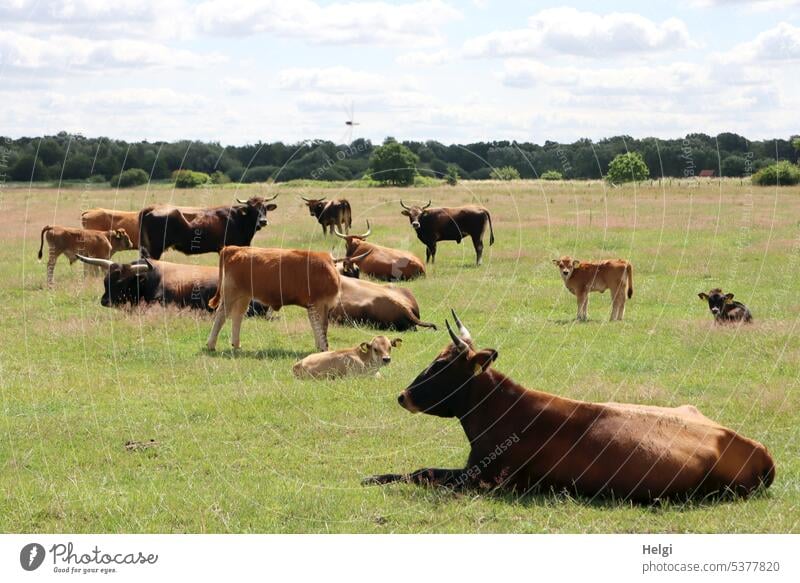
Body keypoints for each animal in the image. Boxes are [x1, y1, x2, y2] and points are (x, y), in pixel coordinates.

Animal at [206, 245, 340, 352]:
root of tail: (235, 248)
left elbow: (317, 325)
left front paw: (319, 347)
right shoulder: (318, 303)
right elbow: (321, 326)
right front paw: (323, 348)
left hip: (243, 296)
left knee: (237, 316)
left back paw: (236, 344)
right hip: (230, 294)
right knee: (221, 316)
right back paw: (211, 345)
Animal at [366, 312, 780, 504]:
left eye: (441, 365)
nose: (403, 396)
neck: (507, 413)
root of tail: (757, 448)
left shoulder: (486, 479)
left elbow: (423, 473)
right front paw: (375, 477)